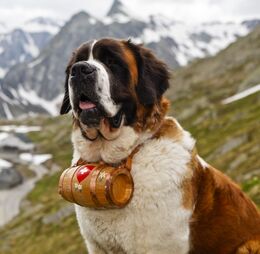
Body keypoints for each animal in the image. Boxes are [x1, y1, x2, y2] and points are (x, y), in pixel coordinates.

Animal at [60, 38, 260, 254]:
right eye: (75, 64)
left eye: (112, 62)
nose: (80, 70)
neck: (120, 158)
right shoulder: (96, 246)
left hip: (248, 245)